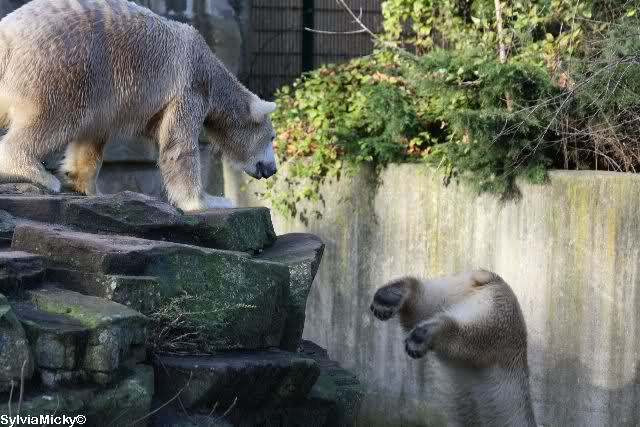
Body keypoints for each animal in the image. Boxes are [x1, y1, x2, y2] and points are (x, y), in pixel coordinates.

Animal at [0, 0, 277, 211]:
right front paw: (211, 201)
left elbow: (93, 137)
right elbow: (179, 147)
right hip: (61, 67)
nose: (272, 169)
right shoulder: (187, 87)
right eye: (272, 137)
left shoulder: (104, 96)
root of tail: (7, 34)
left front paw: (87, 186)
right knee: (53, 117)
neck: (210, 69)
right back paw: (38, 175)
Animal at [370, 269, 537, 427]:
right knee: (471, 337)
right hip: (498, 320)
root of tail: (491, 278)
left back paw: (389, 297)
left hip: (458, 294)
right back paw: (422, 334)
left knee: (426, 307)